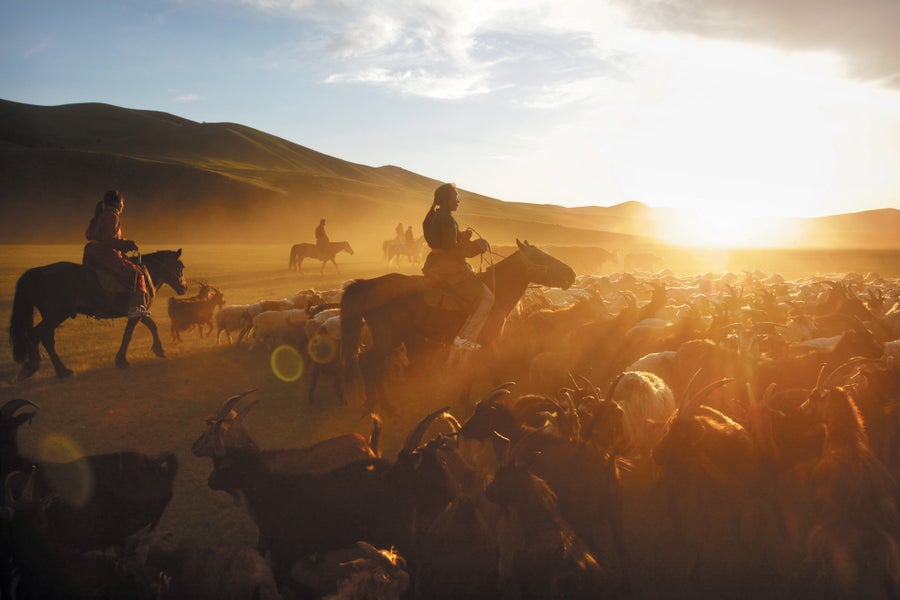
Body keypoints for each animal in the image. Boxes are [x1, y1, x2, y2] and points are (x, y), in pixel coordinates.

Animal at [9, 248, 188, 380]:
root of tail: (40, 272)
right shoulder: (137, 311)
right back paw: (35, 366)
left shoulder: (139, 312)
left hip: (51, 316)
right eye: (180, 267)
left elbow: (144, 328)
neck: (145, 273)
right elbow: (133, 333)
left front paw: (151, 351)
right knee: (36, 334)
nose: (184, 288)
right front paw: (128, 359)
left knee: (46, 339)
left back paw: (62, 371)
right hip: (57, 314)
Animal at [338, 240, 576, 412]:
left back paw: (376, 404)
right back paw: (384, 406)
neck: (496, 289)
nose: (571, 274)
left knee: (369, 363)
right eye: (538, 257)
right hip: (390, 338)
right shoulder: (486, 342)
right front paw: (488, 396)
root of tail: (369, 284)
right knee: (369, 362)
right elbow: (486, 368)